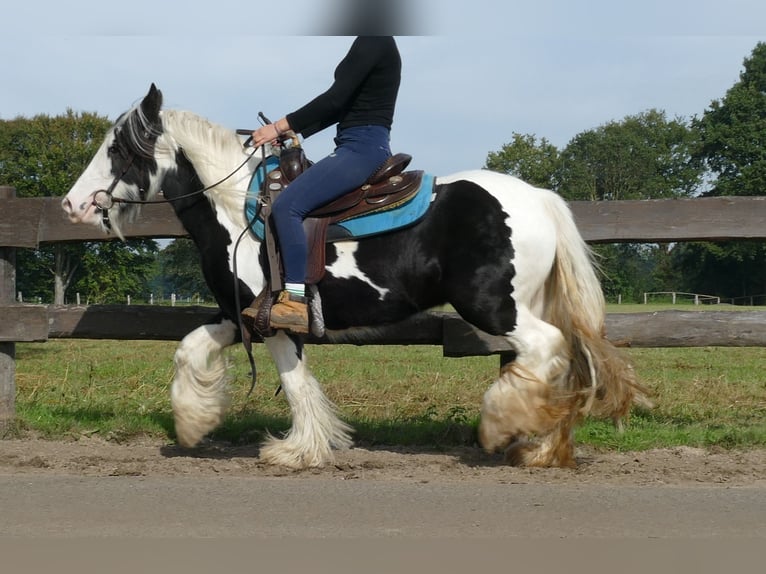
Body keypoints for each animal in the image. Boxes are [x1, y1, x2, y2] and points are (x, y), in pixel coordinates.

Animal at [63, 86, 648, 472]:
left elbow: (295, 384)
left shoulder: (277, 321)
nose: (72, 205)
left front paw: (297, 450)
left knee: (547, 348)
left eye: (118, 149)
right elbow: (189, 349)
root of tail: (540, 199)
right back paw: (540, 445)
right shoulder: (241, 314)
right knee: (554, 360)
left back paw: (503, 425)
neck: (237, 212)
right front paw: (192, 423)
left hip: (494, 306)